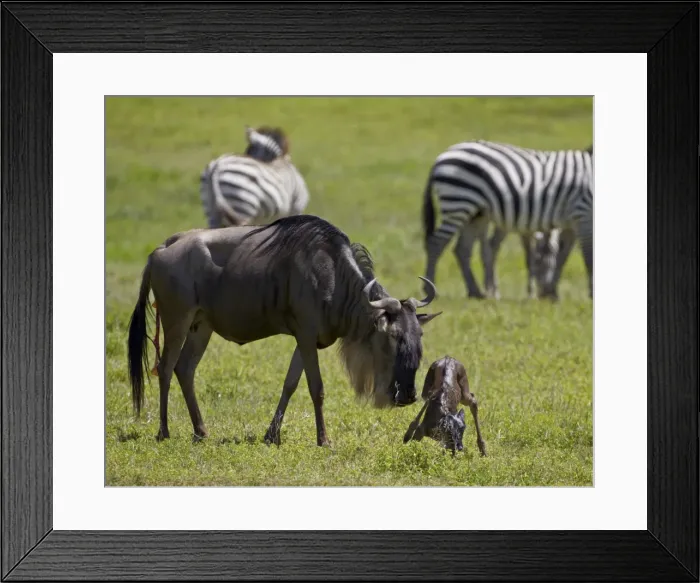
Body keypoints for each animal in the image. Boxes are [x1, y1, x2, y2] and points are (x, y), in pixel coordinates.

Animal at [127, 215, 441, 447]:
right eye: (393, 337)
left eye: (419, 337)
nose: (409, 395)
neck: (333, 278)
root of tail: (160, 249)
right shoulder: (306, 335)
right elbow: (317, 388)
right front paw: (323, 440)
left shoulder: (305, 340)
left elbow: (290, 384)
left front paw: (271, 435)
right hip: (177, 321)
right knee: (165, 368)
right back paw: (164, 432)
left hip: (201, 326)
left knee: (185, 369)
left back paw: (201, 431)